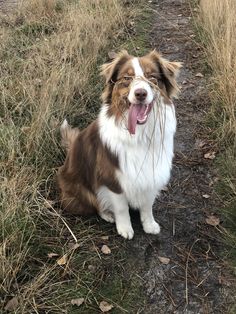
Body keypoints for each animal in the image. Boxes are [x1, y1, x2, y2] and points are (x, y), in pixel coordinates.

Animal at [56, 50, 181, 239]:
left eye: (152, 77)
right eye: (127, 78)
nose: (140, 93)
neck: (139, 135)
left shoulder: (152, 173)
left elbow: (147, 205)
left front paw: (149, 224)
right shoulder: (112, 179)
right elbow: (122, 208)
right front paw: (125, 228)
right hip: (80, 190)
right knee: (96, 204)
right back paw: (108, 214)